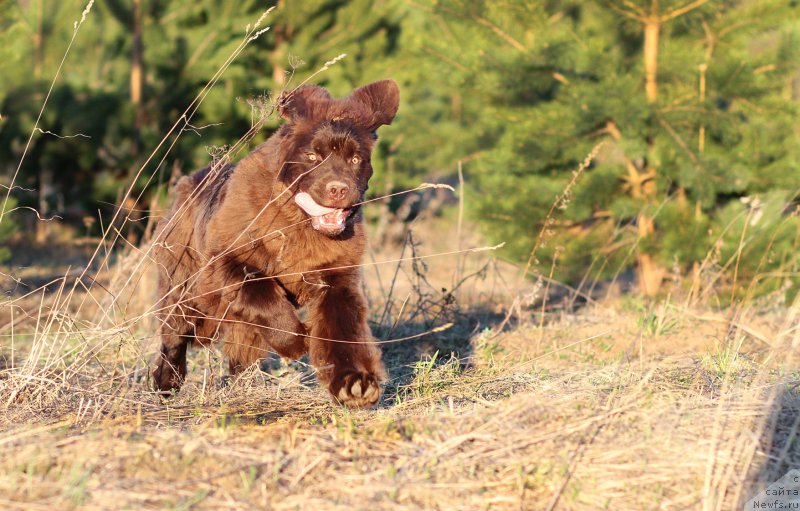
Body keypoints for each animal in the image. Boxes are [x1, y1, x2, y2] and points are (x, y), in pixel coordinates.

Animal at [149, 79, 396, 408]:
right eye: (313, 157)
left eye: (355, 159)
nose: (338, 189)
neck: (299, 223)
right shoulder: (221, 262)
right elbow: (260, 290)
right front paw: (296, 341)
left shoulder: (337, 275)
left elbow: (343, 328)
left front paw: (355, 384)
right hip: (183, 284)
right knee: (175, 334)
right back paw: (166, 383)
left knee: (241, 349)